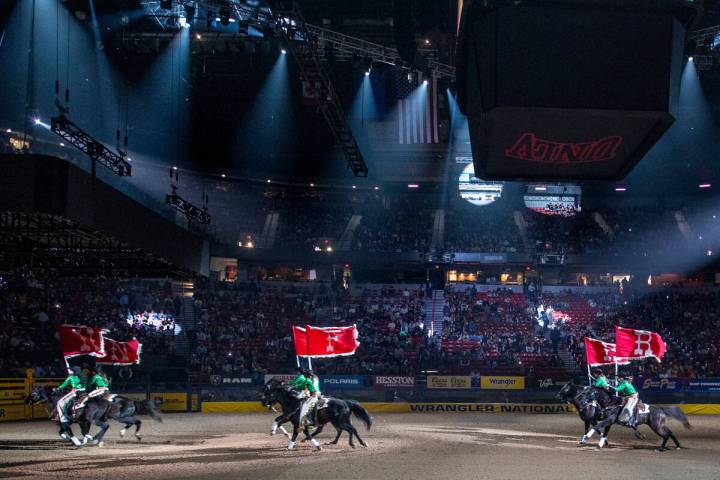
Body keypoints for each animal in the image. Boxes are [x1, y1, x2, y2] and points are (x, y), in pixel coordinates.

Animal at [26, 384, 162, 448]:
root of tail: (132, 401)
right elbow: (81, 432)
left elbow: (69, 432)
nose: (26, 401)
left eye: (33, 393)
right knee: (135, 422)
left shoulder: (67, 421)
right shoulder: (82, 422)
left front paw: (80, 441)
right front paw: (83, 440)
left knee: (127, 423)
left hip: (117, 417)